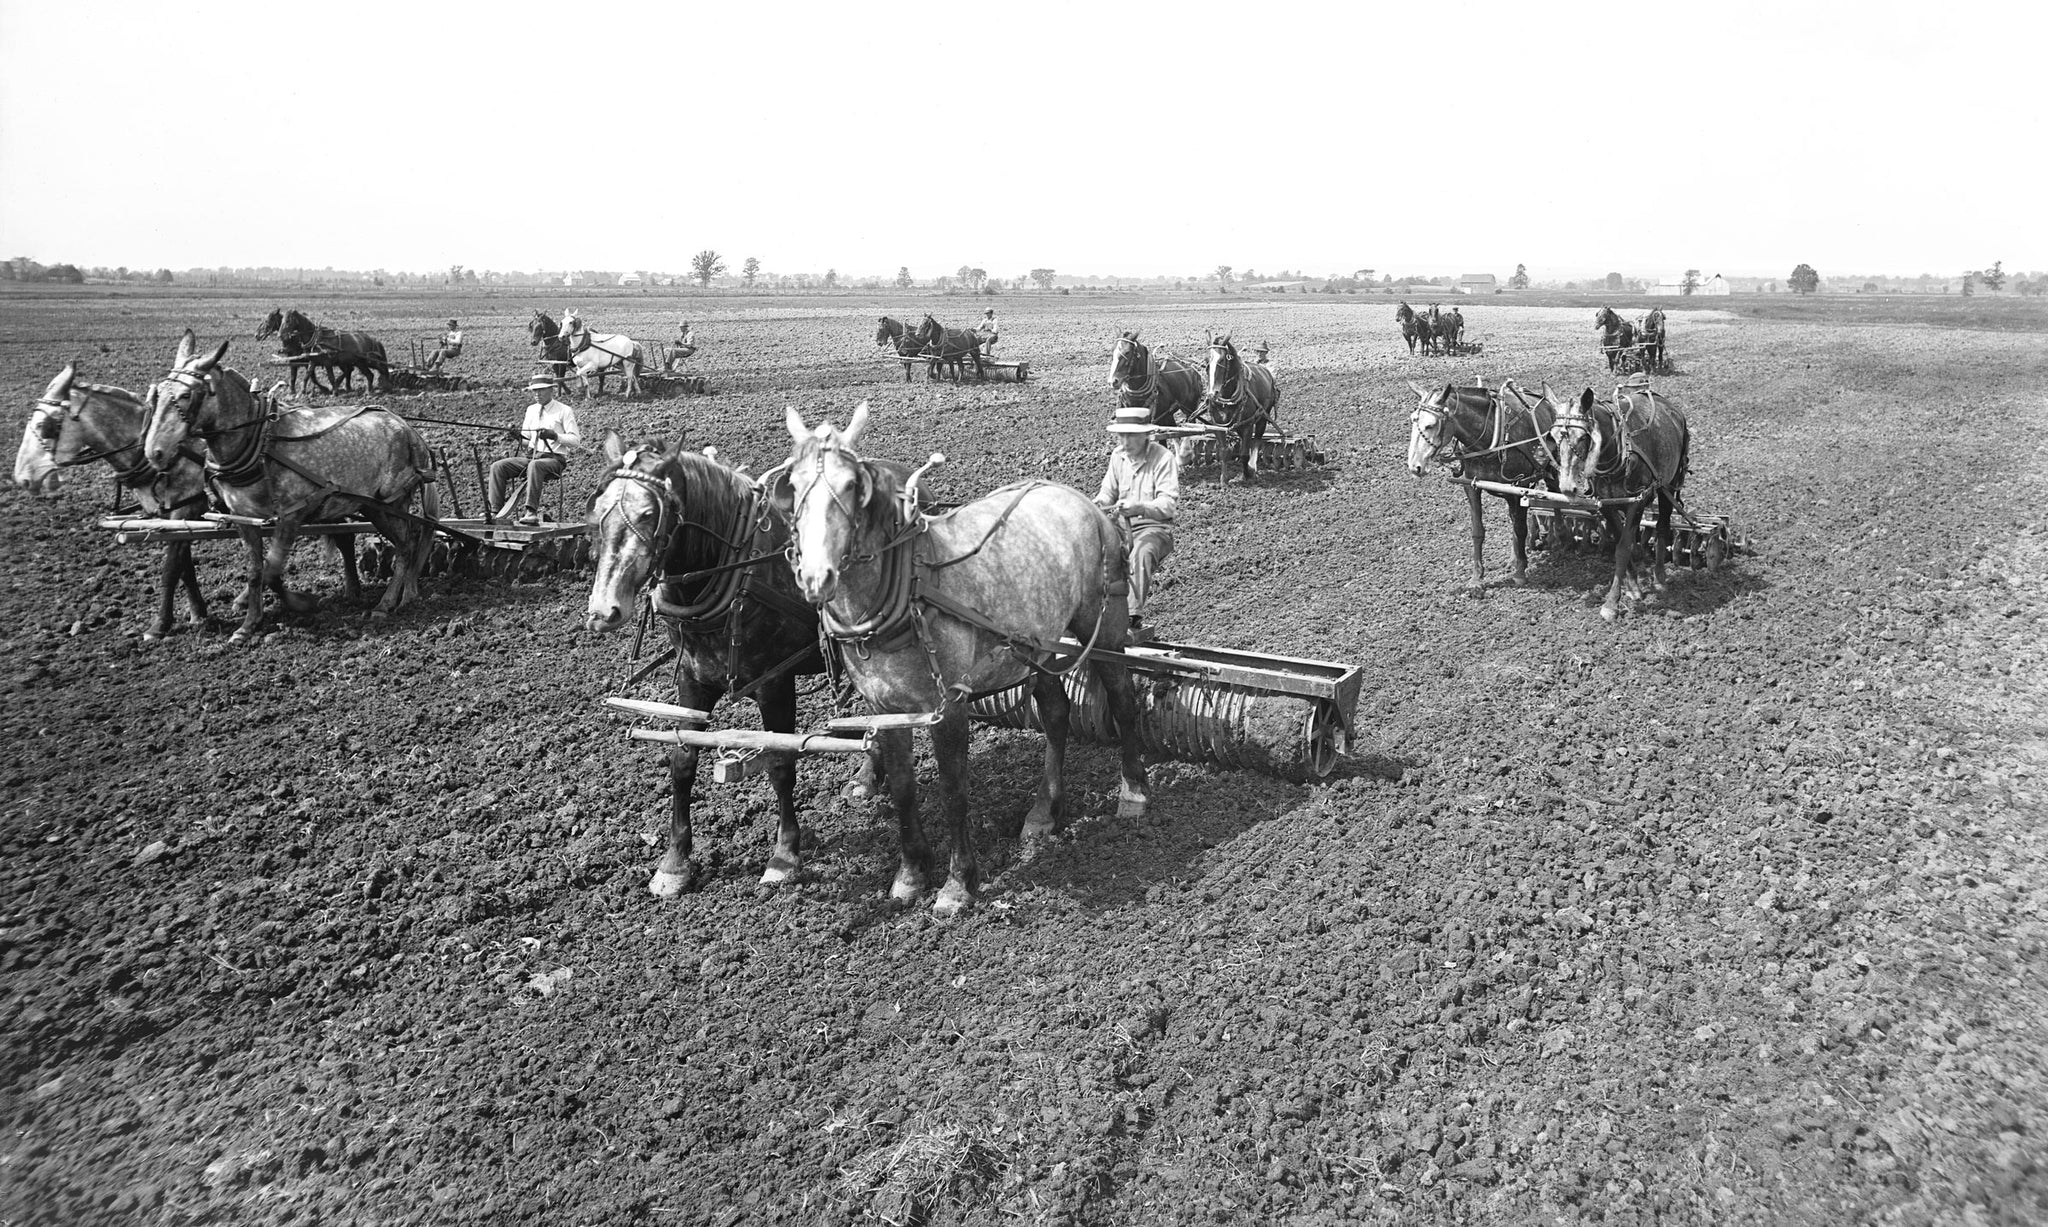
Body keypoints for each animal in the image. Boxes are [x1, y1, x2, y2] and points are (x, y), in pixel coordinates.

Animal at [141, 331, 440, 647]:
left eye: (186, 396)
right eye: (158, 393)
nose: (154, 451)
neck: (261, 442)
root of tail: (408, 430)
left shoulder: (291, 515)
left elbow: (272, 570)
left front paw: (300, 603)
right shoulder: (244, 520)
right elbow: (255, 571)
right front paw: (248, 625)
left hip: (388, 504)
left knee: (406, 546)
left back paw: (386, 603)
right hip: (375, 506)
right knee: (408, 543)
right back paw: (403, 595)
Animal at [774, 407, 1155, 917]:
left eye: (853, 485)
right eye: (793, 486)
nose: (817, 577)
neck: (910, 589)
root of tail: (1085, 502)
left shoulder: (948, 707)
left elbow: (953, 791)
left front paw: (957, 884)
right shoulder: (886, 710)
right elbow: (903, 789)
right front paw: (911, 874)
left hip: (1105, 620)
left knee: (1122, 697)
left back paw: (1134, 791)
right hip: (1033, 645)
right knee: (1056, 713)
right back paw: (1044, 813)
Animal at [1409, 381, 1564, 598]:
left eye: (1430, 425)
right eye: (1413, 420)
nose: (1414, 466)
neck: (1491, 436)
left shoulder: (1521, 485)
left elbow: (1521, 528)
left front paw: (1520, 573)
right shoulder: (1472, 486)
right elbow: (1478, 530)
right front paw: (1476, 579)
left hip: (1551, 471)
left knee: (1556, 499)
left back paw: (1558, 540)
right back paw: (1514, 557)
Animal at [1548, 385, 1695, 618]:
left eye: (1582, 437)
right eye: (1553, 437)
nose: (1567, 487)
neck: (1617, 452)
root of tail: (1671, 408)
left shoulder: (1637, 502)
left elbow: (1623, 548)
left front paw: (1611, 604)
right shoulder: (1606, 504)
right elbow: (1621, 541)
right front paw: (1633, 587)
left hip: (1668, 485)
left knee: (1662, 526)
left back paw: (1660, 577)